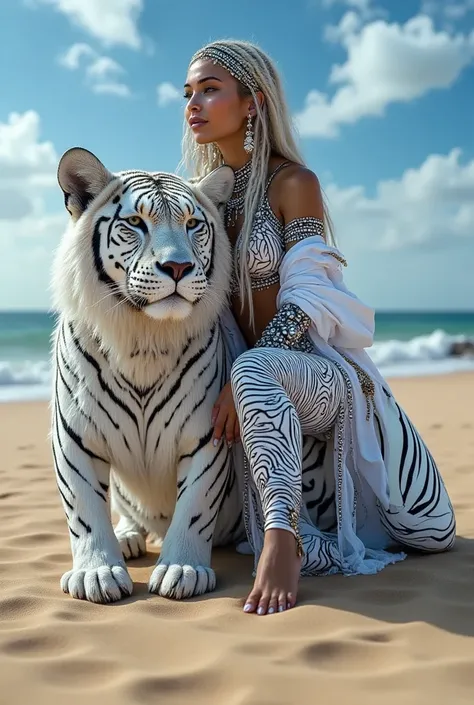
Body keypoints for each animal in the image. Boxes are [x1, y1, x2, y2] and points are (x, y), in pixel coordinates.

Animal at [51, 146, 244, 604]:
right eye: (136, 223)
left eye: (193, 224)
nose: (178, 267)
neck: (146, 337)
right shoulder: (74, 436)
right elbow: (84, 510)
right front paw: (97, 574)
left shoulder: (207, 434)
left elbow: (194, 507)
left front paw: (183, 569)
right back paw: (127, 538)